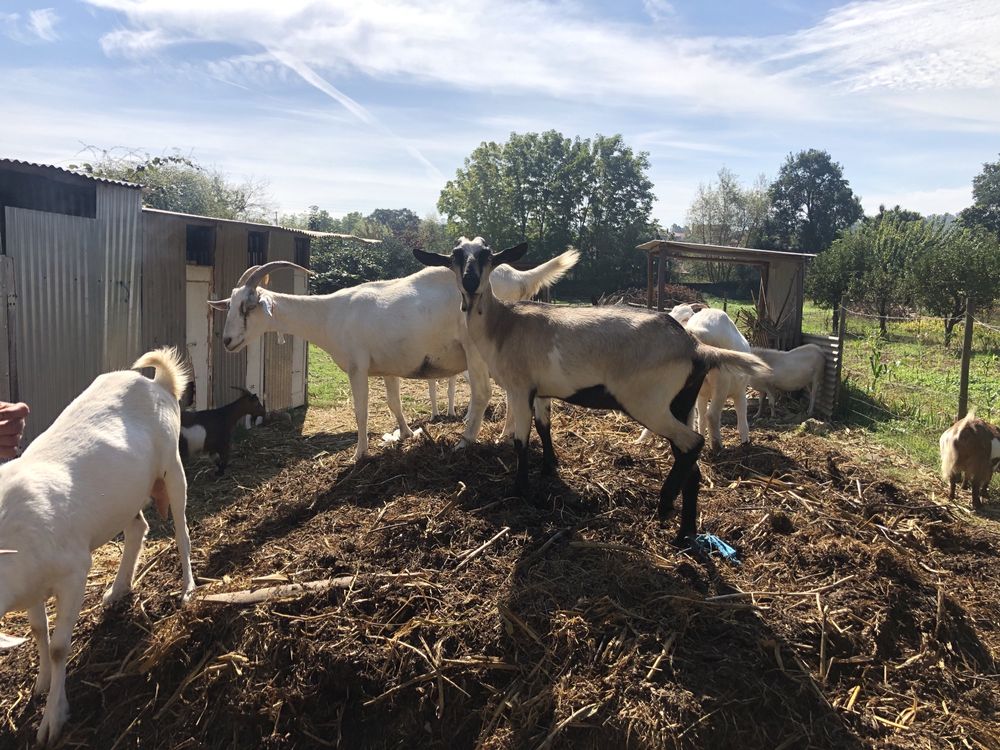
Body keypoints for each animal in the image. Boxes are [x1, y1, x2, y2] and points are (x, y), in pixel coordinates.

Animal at [0, 350, 194, 748]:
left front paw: (53, 719)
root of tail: (159, 383)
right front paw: (41, 686)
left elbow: (59, 646)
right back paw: (118, 590)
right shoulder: (31, 582)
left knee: (182, 530)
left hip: (172, 466)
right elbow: (38, 629)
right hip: (127, 495)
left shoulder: (74, 571)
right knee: (137, 527)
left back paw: (187, 588)